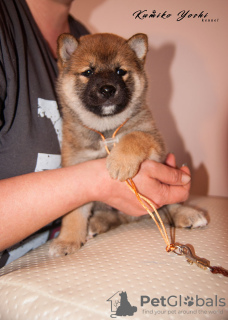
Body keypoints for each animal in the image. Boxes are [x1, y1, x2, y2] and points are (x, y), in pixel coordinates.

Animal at [49, 33, 208, 258]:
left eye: (120, 71)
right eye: (88, 72)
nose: (108, 89)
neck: (106, 129)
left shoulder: (154, 141)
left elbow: (134, 137)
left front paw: (120, 162)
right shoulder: (75, 167)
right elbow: (73, 214)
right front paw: (67, 240)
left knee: (170, 206)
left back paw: (188, 214)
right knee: (114, 217)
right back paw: (95, 224)